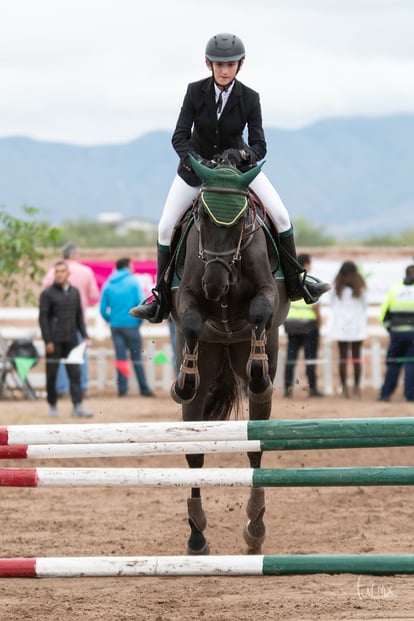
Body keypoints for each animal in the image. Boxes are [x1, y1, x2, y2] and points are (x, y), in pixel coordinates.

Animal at [170, 154, 290, 552]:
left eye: (238, 222)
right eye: (203, 219)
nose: (215, 285)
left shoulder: (267, 292)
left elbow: (259, 312)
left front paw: (259, 369)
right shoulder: (187, 297)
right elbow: (192, 321)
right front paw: (184, 381)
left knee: (256, 447)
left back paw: (255, 529)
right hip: (204, 379)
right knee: (195, 454)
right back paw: (196, 537)